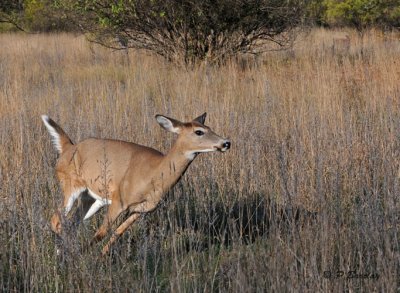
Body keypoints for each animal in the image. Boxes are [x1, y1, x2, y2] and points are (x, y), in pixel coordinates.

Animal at [41, 113, 231, 254]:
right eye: (199, 132)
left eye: (209, 128)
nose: (226, 143)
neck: (154, 175)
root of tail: (68, 148)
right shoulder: (119, 200)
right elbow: (102, 232)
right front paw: (87, 257)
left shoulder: (141, 210)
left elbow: (117, 233)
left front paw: (101, 257)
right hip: (70, 186)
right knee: (56, 220)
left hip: (92, 199)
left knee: (71, 223)